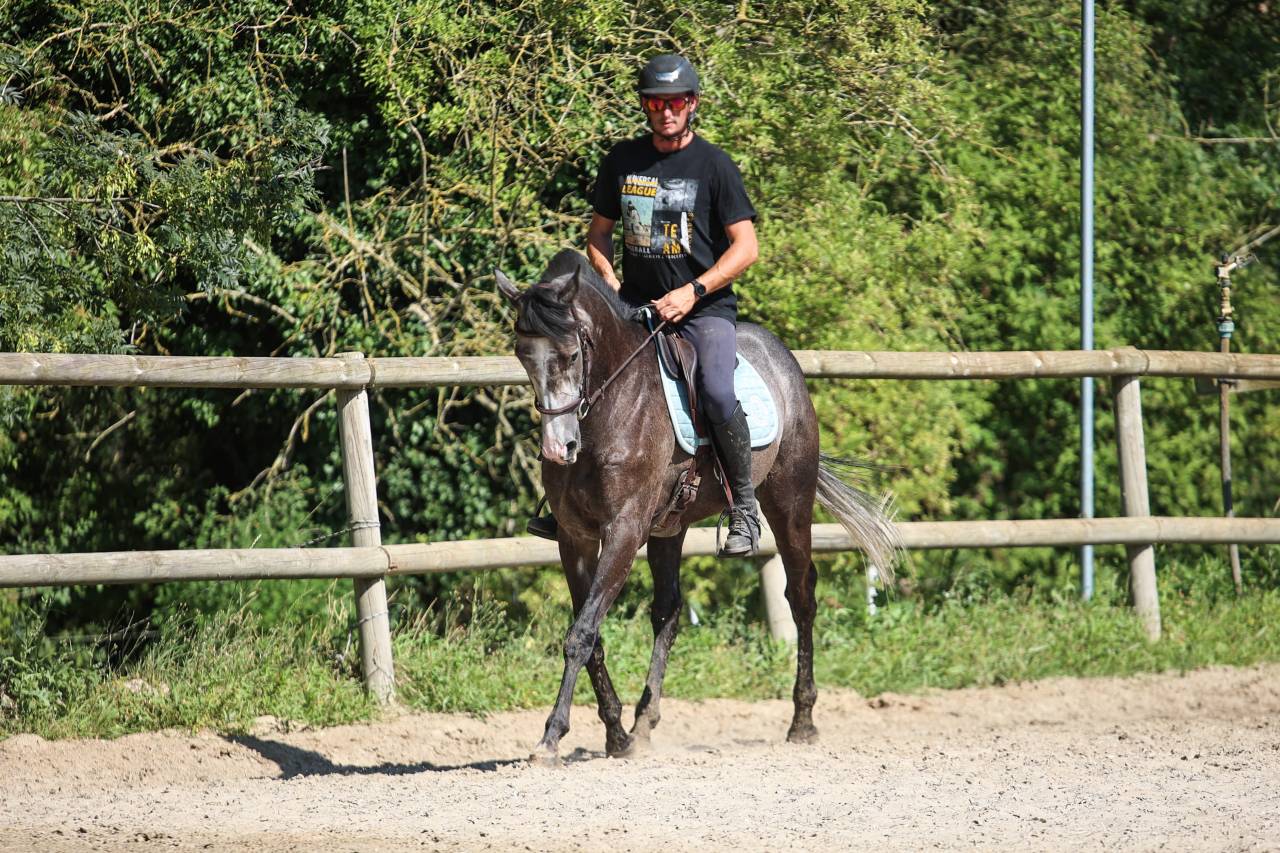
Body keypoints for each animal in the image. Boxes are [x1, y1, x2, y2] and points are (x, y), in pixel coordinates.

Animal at [496, 249, 900, 765]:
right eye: (522, 355)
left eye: (570, 355)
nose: (557, 448)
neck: (611, 408)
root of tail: (780, 356)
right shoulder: (575, 538)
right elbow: (593, 636)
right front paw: (616, 735)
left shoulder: (624, 530)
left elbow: (582, 634)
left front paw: (551, 737)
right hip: (670, 527)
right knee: (668, 611)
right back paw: (644, 723)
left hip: (789, 501)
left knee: (801, 596)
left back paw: (802, 721)